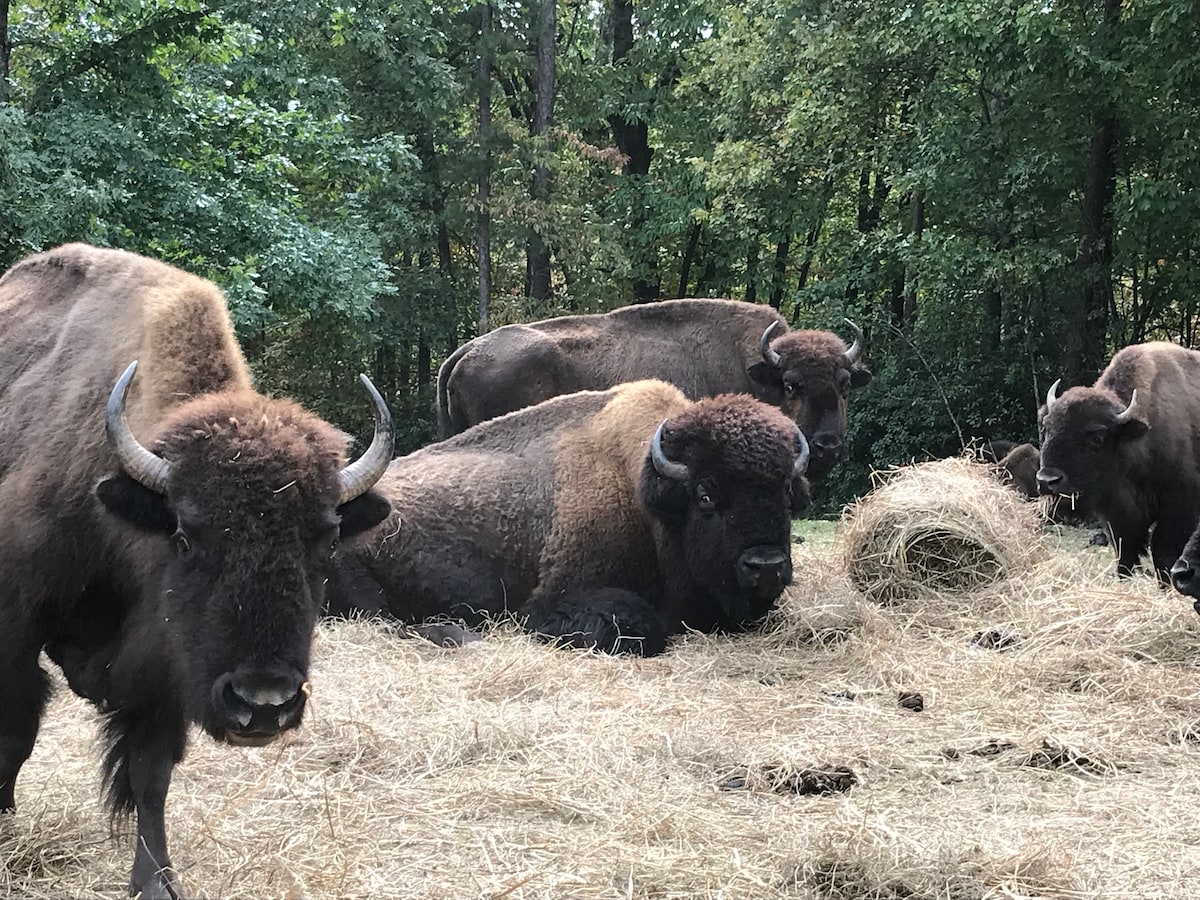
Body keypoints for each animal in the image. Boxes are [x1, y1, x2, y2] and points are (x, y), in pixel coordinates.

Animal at [0, 243, 393, 897]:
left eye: (327, 543)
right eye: (184, 537)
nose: (264, 704)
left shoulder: (165, 668)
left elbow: (149, 773)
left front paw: (155, 880)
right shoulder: (15, 631)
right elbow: (15, 735)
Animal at [1032, 340, 1200, 580]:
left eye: (1097, 438)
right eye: (1046, 428)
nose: (1047, 480)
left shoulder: (1178, 502)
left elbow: (1163, 548)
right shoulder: (1115, 511)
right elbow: (1124, 548)